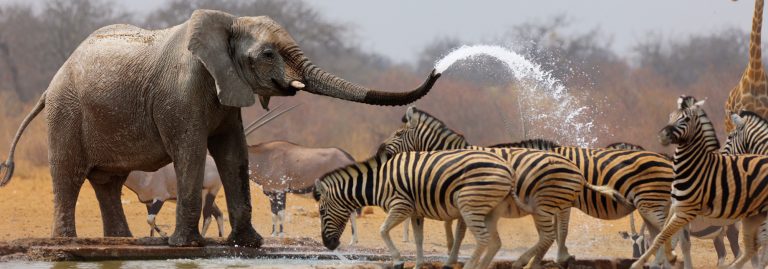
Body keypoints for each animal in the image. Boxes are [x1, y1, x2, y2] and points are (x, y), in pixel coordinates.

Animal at [0, 9, 440, 246]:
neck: (229, 21)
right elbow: (192, 152)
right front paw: (185, 245)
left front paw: (249, 244)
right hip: (66, 111)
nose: (438, 68)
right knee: (69, 174)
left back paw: (121, 242)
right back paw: (67, 242)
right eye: (268, 54)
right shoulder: (181, 92)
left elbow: (234, 154)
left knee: (108, 181)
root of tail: (50, 84)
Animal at [312, 149, 516, 268]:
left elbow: (383, 231)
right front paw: (418, 265)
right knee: (494, 242)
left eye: (321, 212)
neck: (378, 183)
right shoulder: (416, 212)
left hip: (470, 206)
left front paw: (398, 261)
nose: (328, 245)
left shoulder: (401, 205)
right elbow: (418, 239)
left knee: (483, 239)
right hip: (488, 210)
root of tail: (508, 168)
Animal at [380, 105, 632, 266]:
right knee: (557, 229)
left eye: (399, 133)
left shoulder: (465, 199)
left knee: (556, 229)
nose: (380, 151)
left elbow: (459, 231)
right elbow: (455, 229)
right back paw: (554, 258)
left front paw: (452, 259)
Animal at [632, 95, 768, 266]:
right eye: (670, 116)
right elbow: (667, 237)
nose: (663, 135)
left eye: (731, 136)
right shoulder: (677, 209)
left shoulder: (684, 212)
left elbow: (667, 238)